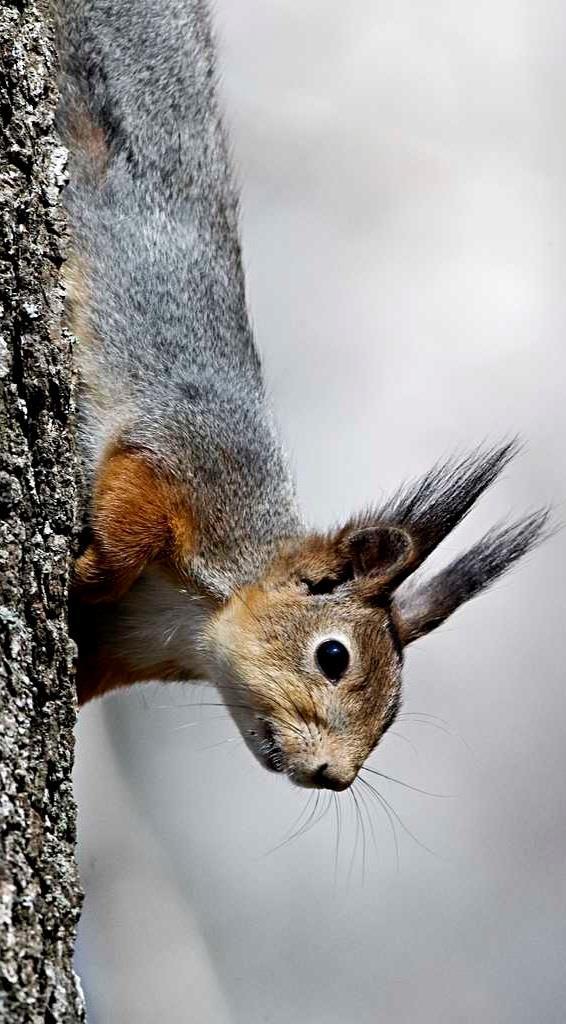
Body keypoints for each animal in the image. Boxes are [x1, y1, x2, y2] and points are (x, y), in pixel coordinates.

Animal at [55, 0, 544, 790]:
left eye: (393, 714)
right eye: (333, 656)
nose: (334, 777)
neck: (191, 619)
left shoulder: (119, 646)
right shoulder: (191, 457)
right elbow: (131, 512)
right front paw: (87, 573)